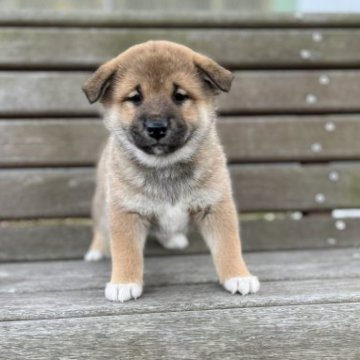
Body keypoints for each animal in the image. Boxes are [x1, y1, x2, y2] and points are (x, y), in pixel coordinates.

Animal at [83, 40, 260, 302]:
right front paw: (124, 282)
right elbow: (126, 251)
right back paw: (96, 251)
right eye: (135, 97)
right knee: (100, 229)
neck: (165, 166)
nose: (156, 128)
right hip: (101, 204)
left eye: (179, 96)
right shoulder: (125, 211)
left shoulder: (216, 206)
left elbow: (228, 246)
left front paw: (238, 276)